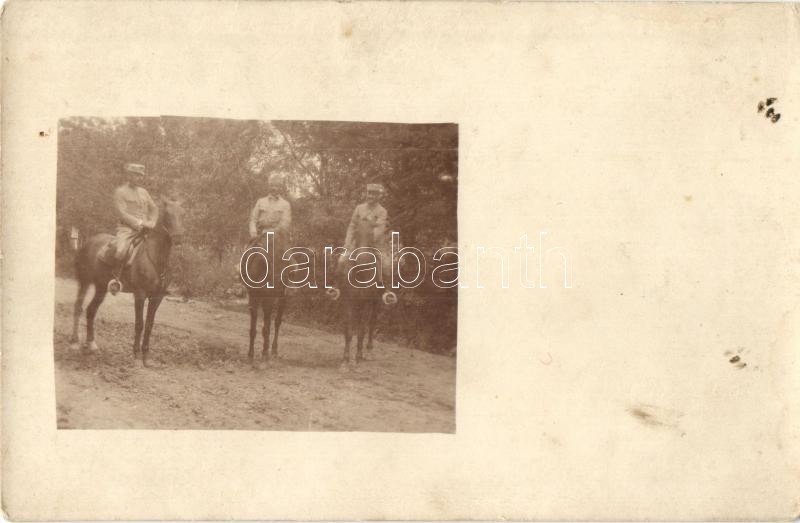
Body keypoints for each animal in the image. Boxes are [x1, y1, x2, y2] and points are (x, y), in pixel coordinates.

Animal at [70, 197, 185, 367]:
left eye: (182, 214)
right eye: (167, 215)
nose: (178, 238)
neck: (155, 258)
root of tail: (87, 243)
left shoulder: (157, 297)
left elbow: (149, 325)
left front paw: (146, 358)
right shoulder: (140, 295)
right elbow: (139, 324)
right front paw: (136, 357)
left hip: (101, 287)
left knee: (91, 310)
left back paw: (91, 344)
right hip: (85, 282)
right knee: (78, 307)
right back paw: (74, 342)